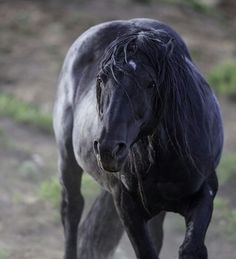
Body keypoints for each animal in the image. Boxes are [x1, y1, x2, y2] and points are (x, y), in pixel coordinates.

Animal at [53, 18, 223, 259]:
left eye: (150, 83)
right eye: (102, 78)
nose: (108, 149)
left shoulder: (206, 192)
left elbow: (191, 248)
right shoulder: (128, 207)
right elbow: (146, 251)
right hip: (67, 159)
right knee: (72, 209)